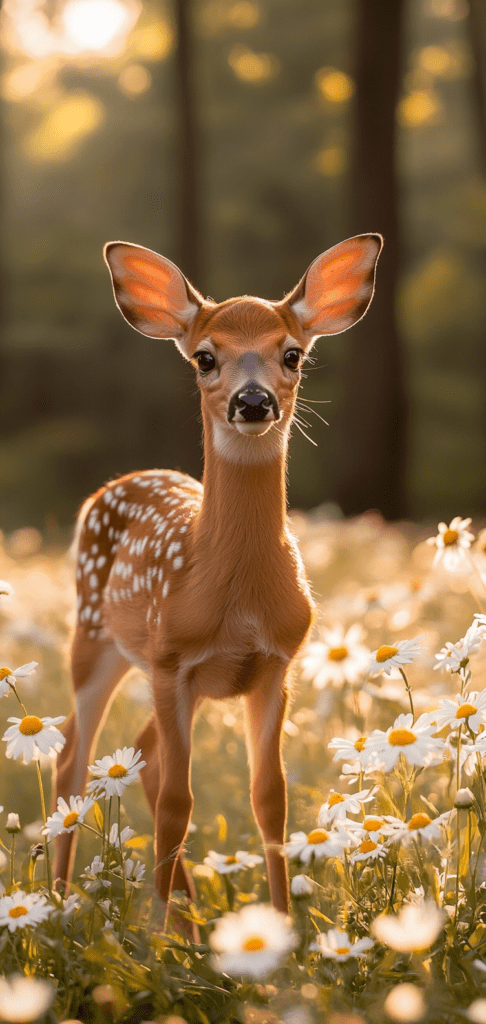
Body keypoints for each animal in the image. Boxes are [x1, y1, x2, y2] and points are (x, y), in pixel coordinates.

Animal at [53, 234, 384, 929]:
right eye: (205, 357)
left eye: (292, 354)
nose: (252, 402)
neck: (238, 598)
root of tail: (120, 482)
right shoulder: (171, 659)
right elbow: (179, 806)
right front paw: (160, 946)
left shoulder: (275, 664)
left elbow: (270, 798)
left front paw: (284, 935)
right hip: (96, 638)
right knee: (75, 754)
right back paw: (64, 906)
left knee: (142, 754)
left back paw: (188, 916)